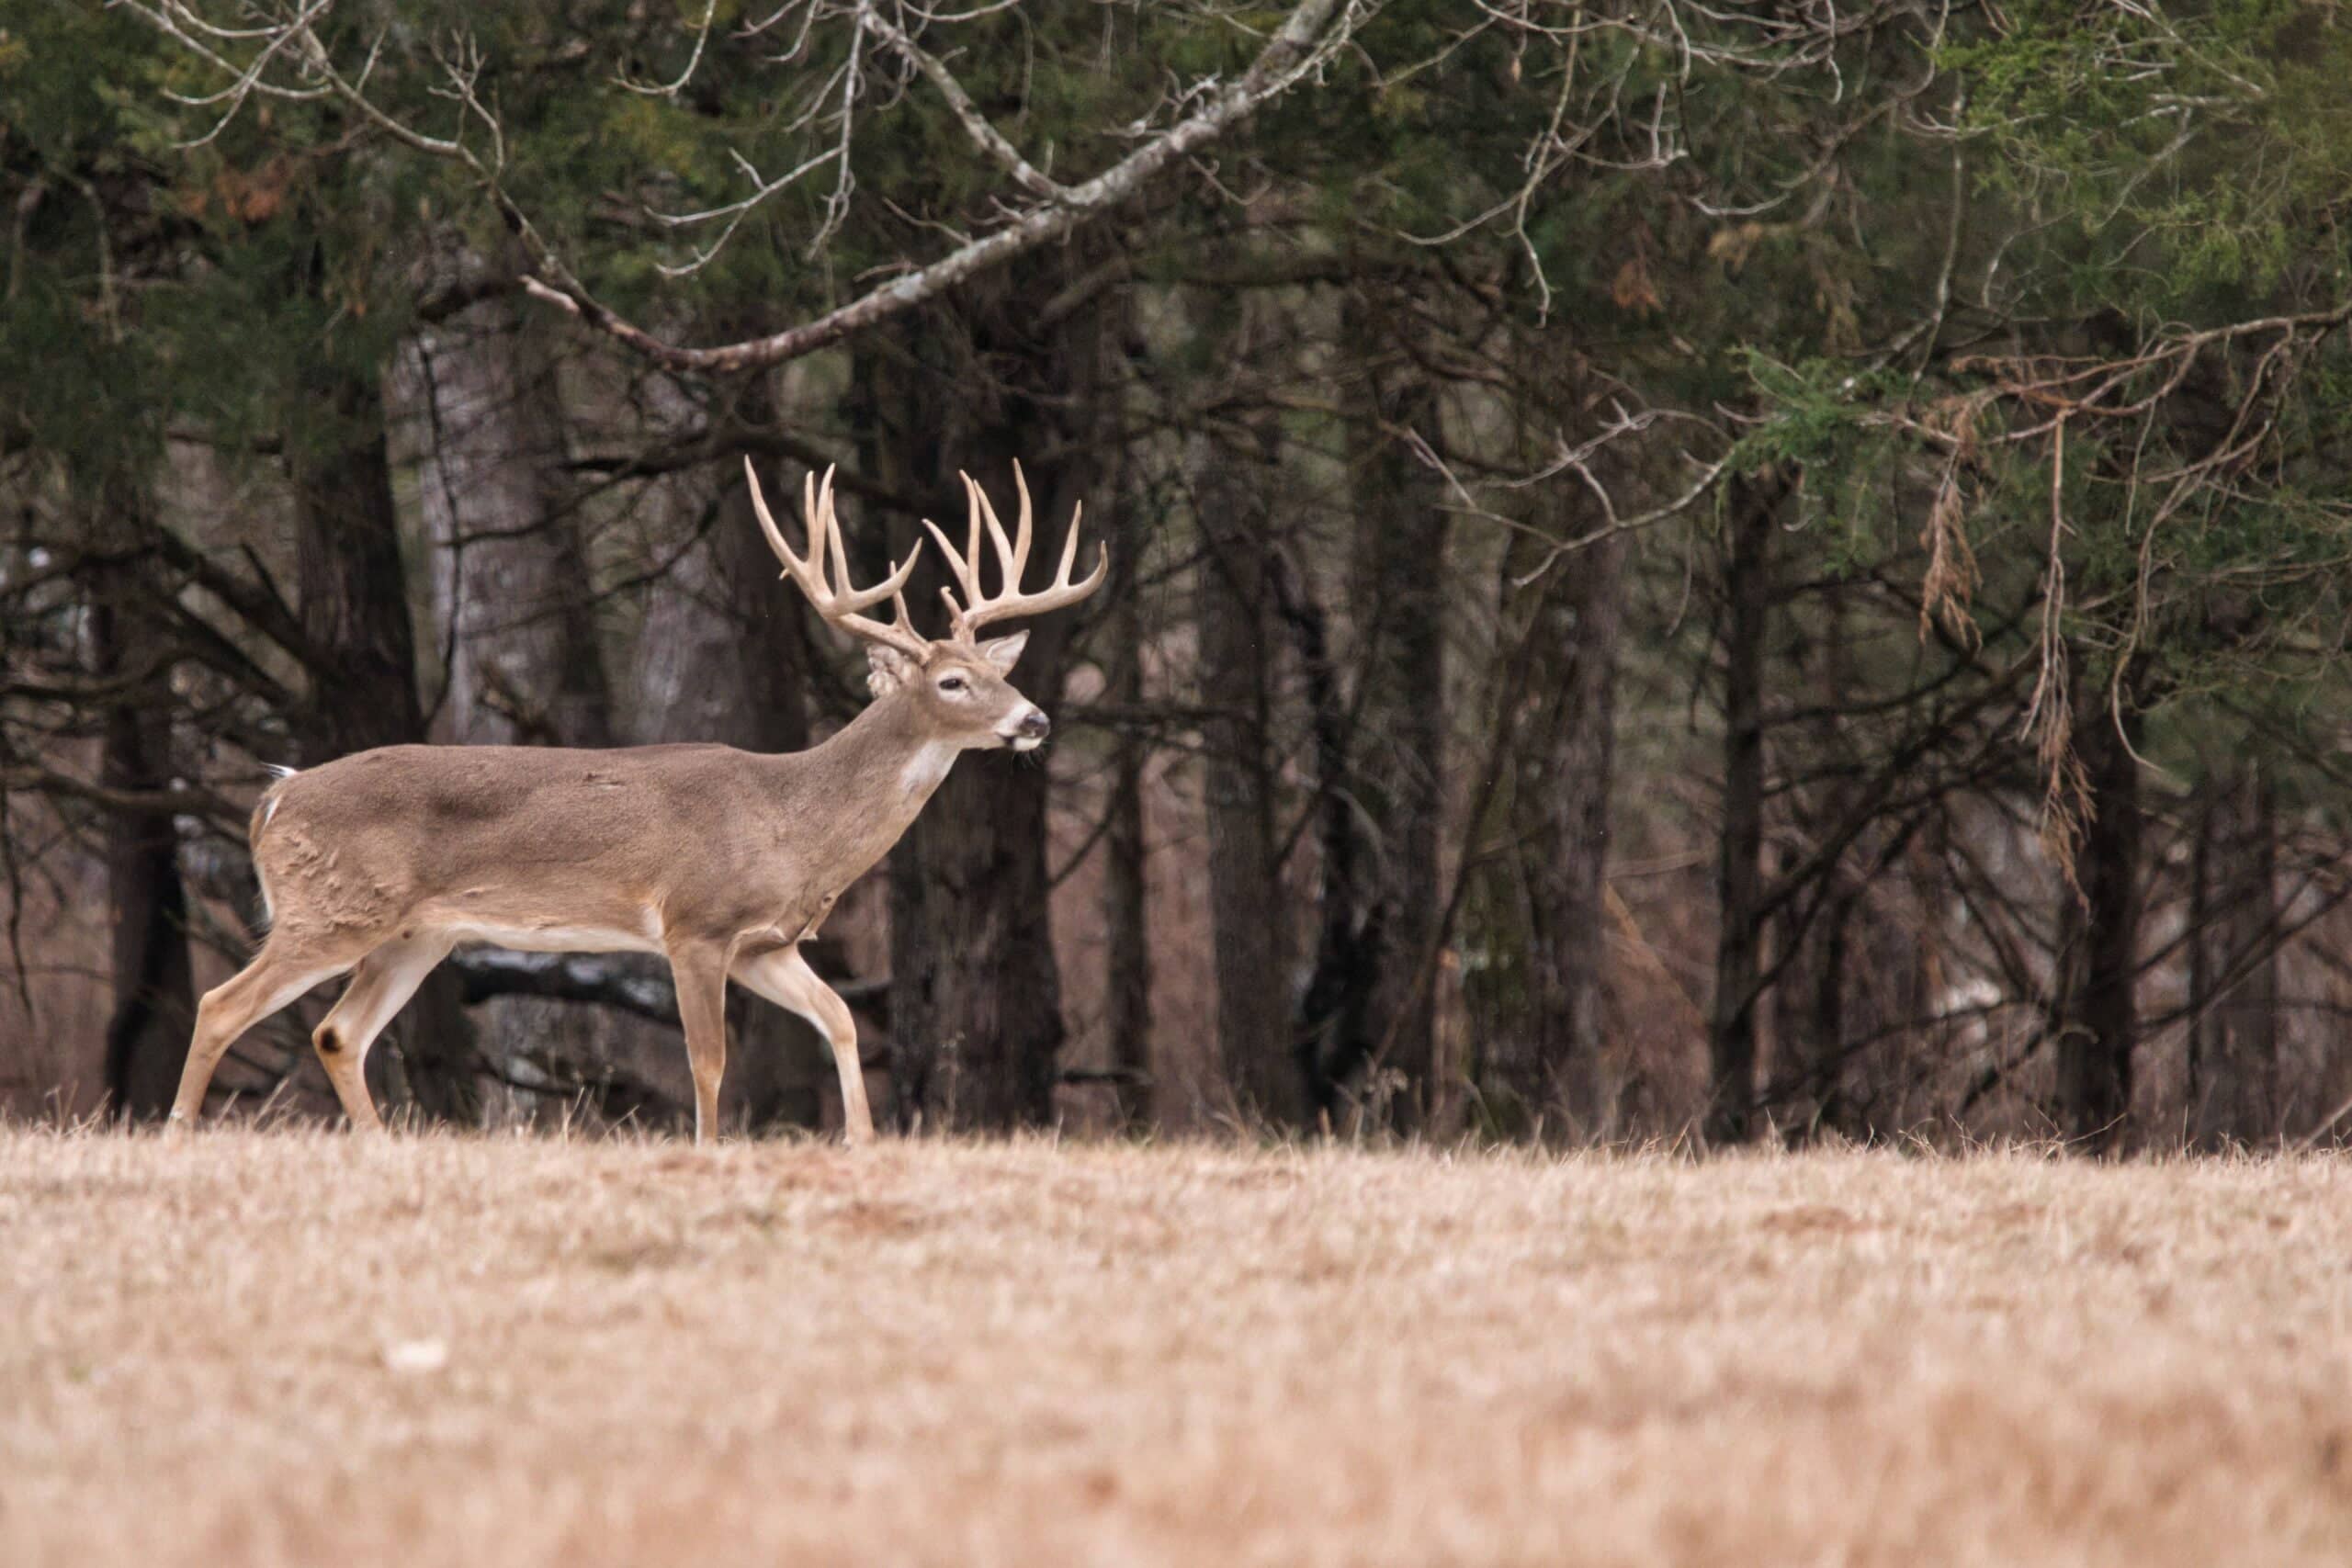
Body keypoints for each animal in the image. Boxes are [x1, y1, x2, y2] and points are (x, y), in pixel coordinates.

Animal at [165, 458, 1105, 1145]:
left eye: (1000, 671)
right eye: (952, 681)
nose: (1035, 719)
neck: (793, 821)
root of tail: (274, 799)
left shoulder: (766, 944)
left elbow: (839, 1019)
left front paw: (864, 1143)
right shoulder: (696, 924)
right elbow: (708, 1062)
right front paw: (710, 1150)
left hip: (414, 933)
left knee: (337, 1032)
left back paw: (380, 1147)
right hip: (332, 908)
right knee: (221, 1004)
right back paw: (178, 1135)